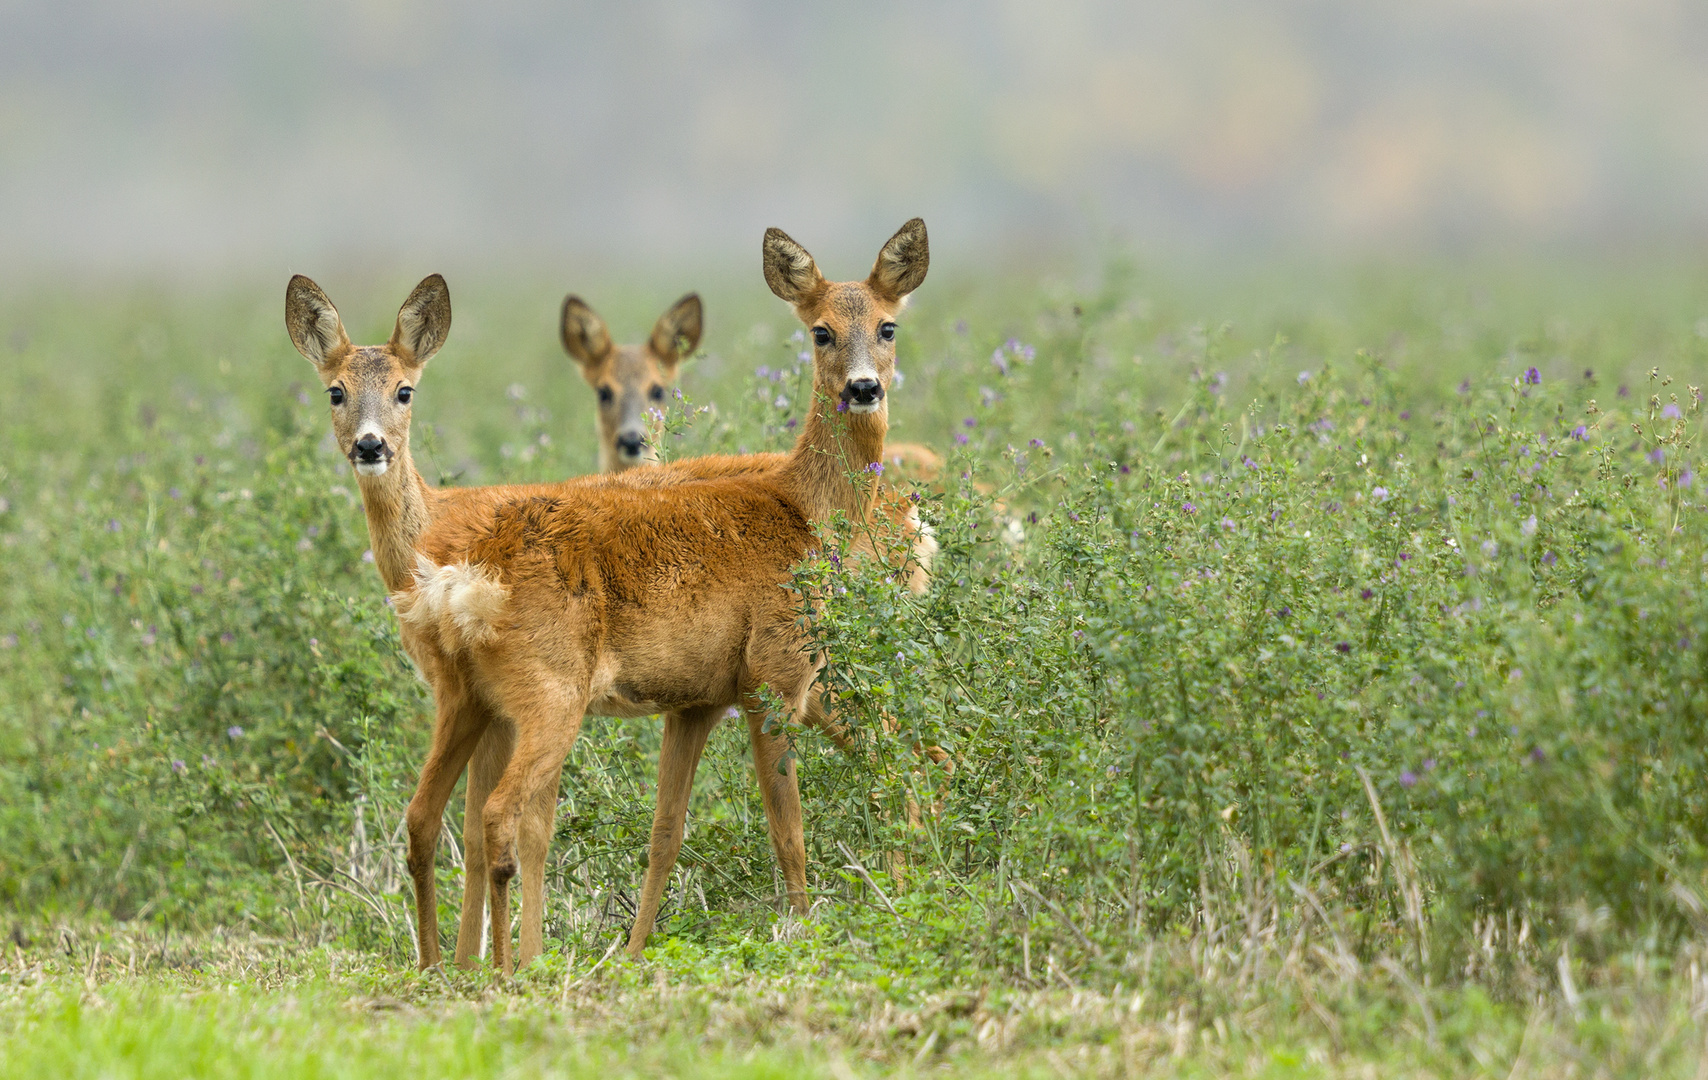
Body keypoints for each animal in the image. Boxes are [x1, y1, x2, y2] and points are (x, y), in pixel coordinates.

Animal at [290, 217, 935, 970]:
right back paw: (502, 967)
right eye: (820, 331)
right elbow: (788, 833)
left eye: (889, 326)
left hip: (471, 696)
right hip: (553, 692)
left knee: (431, 818)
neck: (804, 511)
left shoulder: (701, 697)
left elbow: (665, 833)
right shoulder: (770, 677)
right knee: (496, 817)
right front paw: (799, 936)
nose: (863, 388)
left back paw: (444, 964)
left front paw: (630, 953)